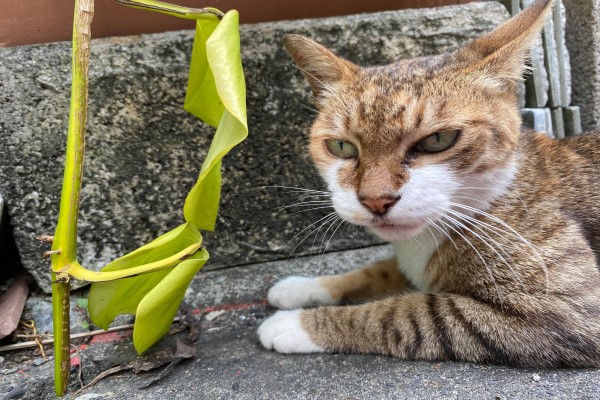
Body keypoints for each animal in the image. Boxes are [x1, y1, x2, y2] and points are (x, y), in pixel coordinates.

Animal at [255, 0, 600, 368]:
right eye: (341, 147)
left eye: (438, 140)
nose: (376, 200)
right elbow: (379, 270)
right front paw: (305, 287)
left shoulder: (564, 309)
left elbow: (406, 313)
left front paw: (296, 324)